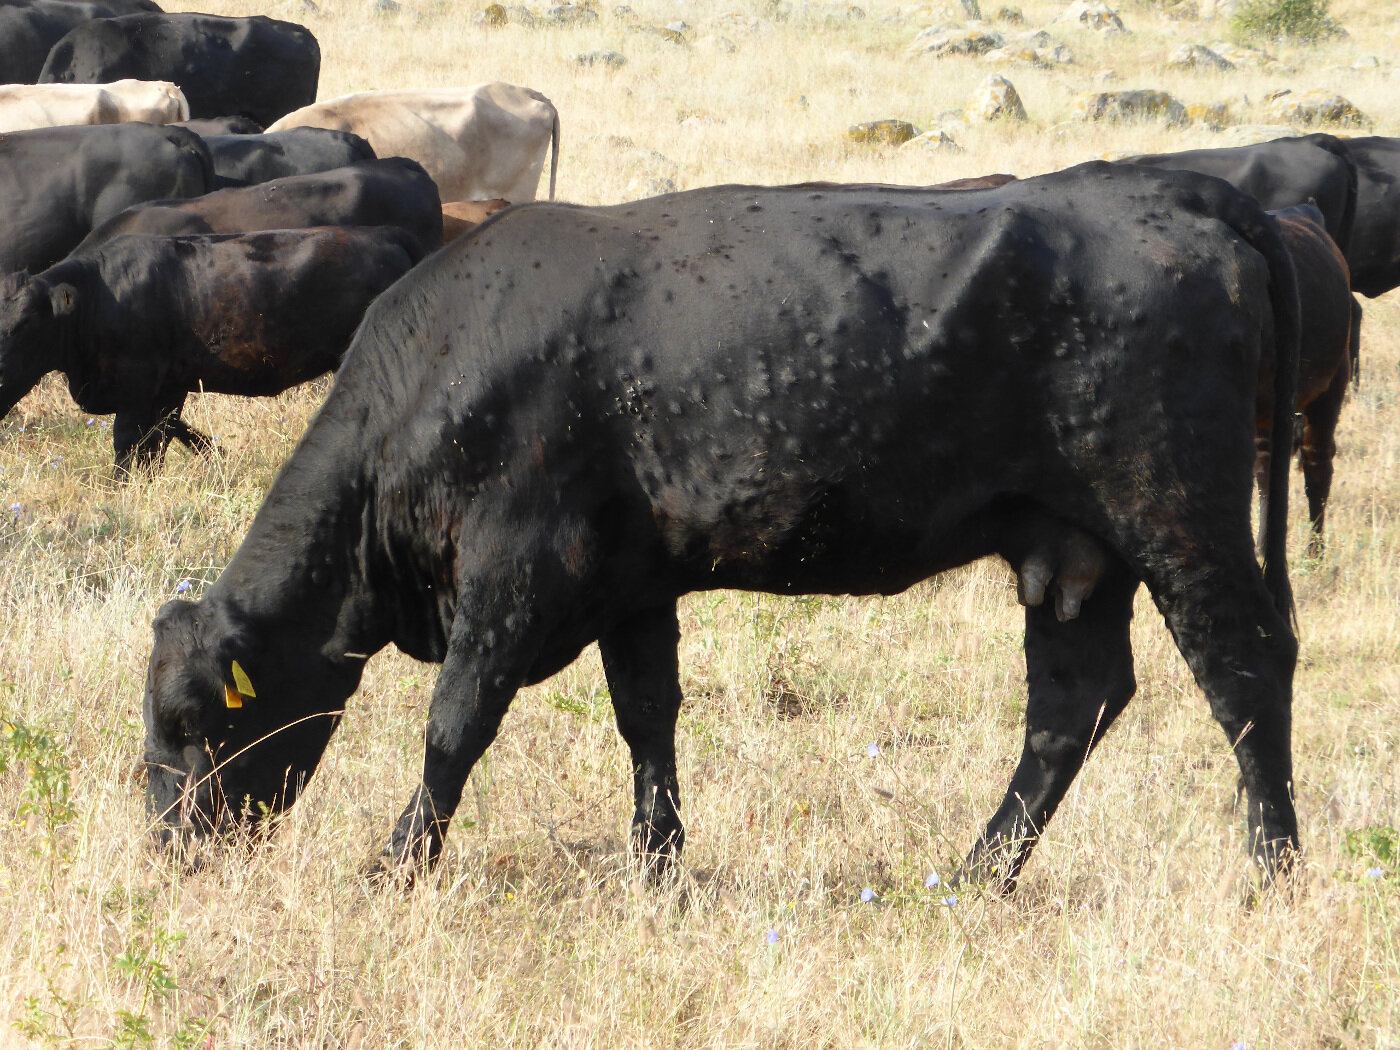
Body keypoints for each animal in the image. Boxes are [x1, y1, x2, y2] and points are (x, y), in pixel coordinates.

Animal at [0, 226, 425, 473]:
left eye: (25, 325)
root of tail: (387, 235)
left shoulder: (140, 390)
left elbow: (130, 447)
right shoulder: (169, 388)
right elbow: (166, 437)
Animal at [140, 163, 1304, 897]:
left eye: (193, 721)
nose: (166, 851)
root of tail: (1171, 190)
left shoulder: (516, 574)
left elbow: (453, 728)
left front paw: (394, 868)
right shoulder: (629, 583)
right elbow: (647, 718)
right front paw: (658, 868)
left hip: (1176, 516)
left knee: (1244, 671)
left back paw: (1273, 871)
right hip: (1073, 553)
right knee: (1072, 707)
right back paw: (976, 877)